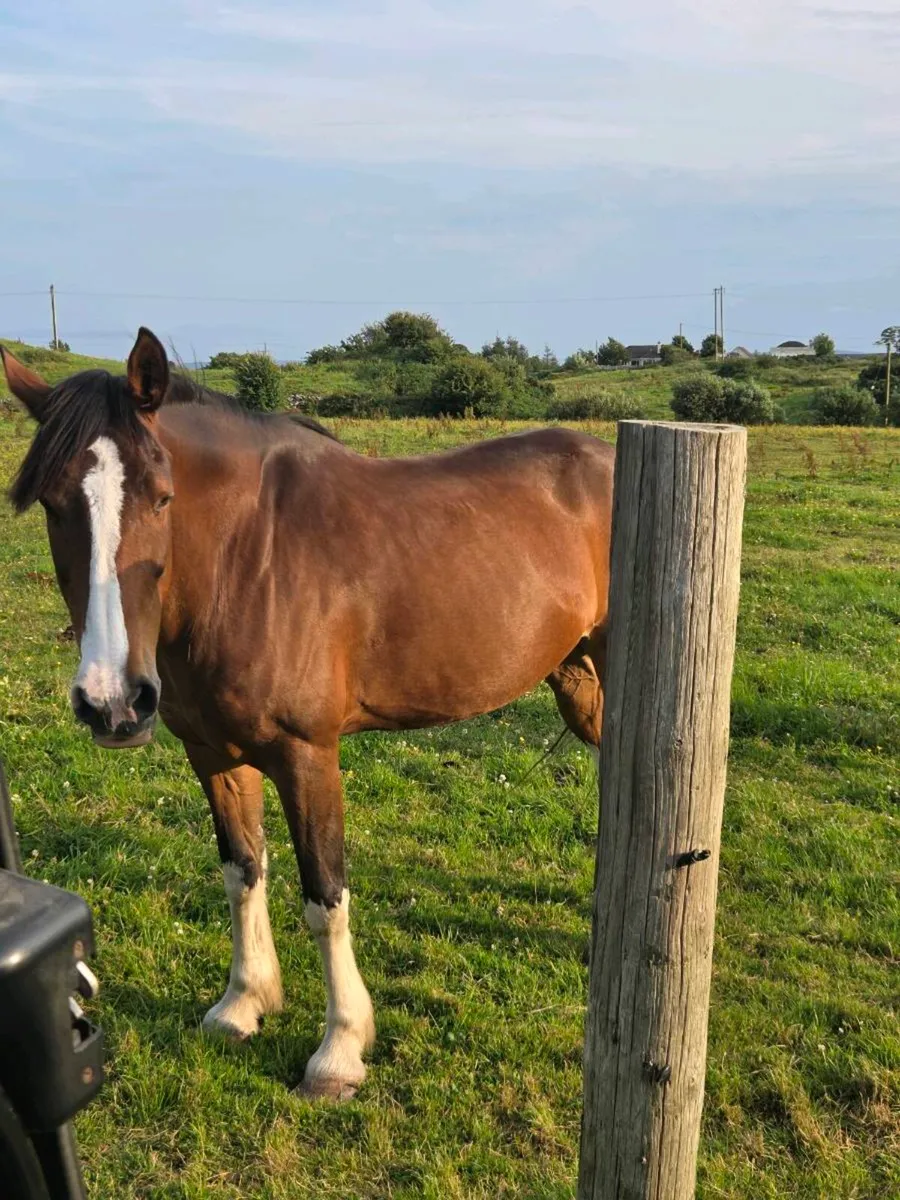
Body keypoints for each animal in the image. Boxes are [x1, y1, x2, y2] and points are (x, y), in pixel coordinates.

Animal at [2, 328, 613, 1099]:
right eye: (52, 504)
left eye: (163, 497)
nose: (113, 702)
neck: (248, 558)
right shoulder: (214, 754)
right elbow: (242, 872)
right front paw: (243, 1003)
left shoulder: (307, 756)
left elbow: (325, 897)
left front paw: (340, 1049)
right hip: (578, 679)